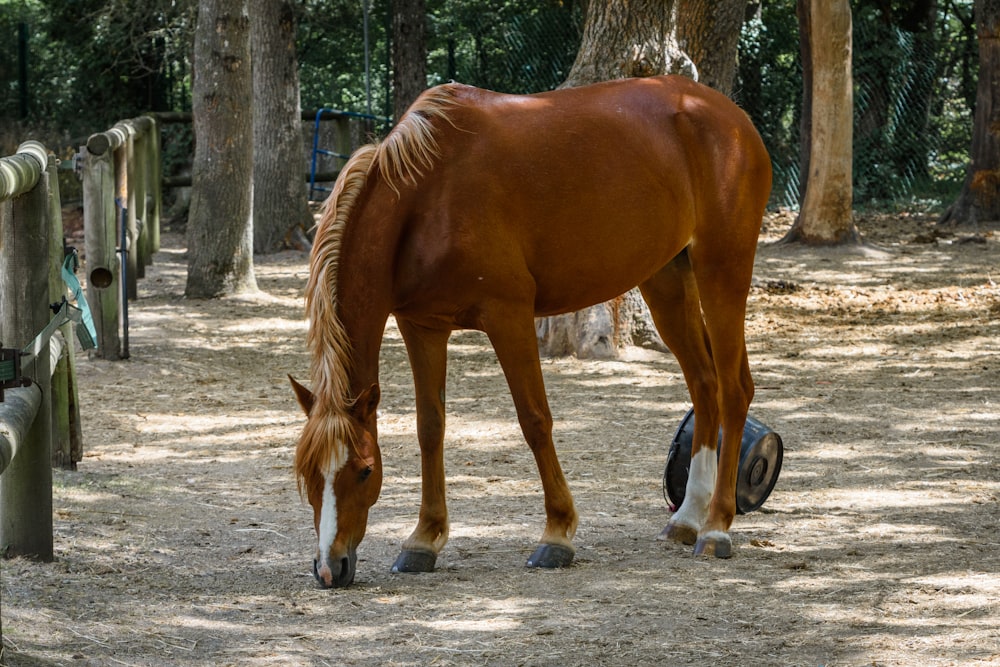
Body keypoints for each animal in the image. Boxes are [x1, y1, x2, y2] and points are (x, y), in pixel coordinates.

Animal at [290, 75, 772, 588]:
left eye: (364, 470)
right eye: (307, 475)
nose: (329, 567)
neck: (426, 193)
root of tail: (731, 117)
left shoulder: (509, 316)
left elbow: (534, 420)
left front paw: (557, 533)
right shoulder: (422, 326)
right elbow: (430, 429)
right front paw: (424, 539)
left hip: (722, 271)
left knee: (733, 389)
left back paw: (717, 526)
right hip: (666, 279)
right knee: (704, 385)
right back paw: (688, 516)